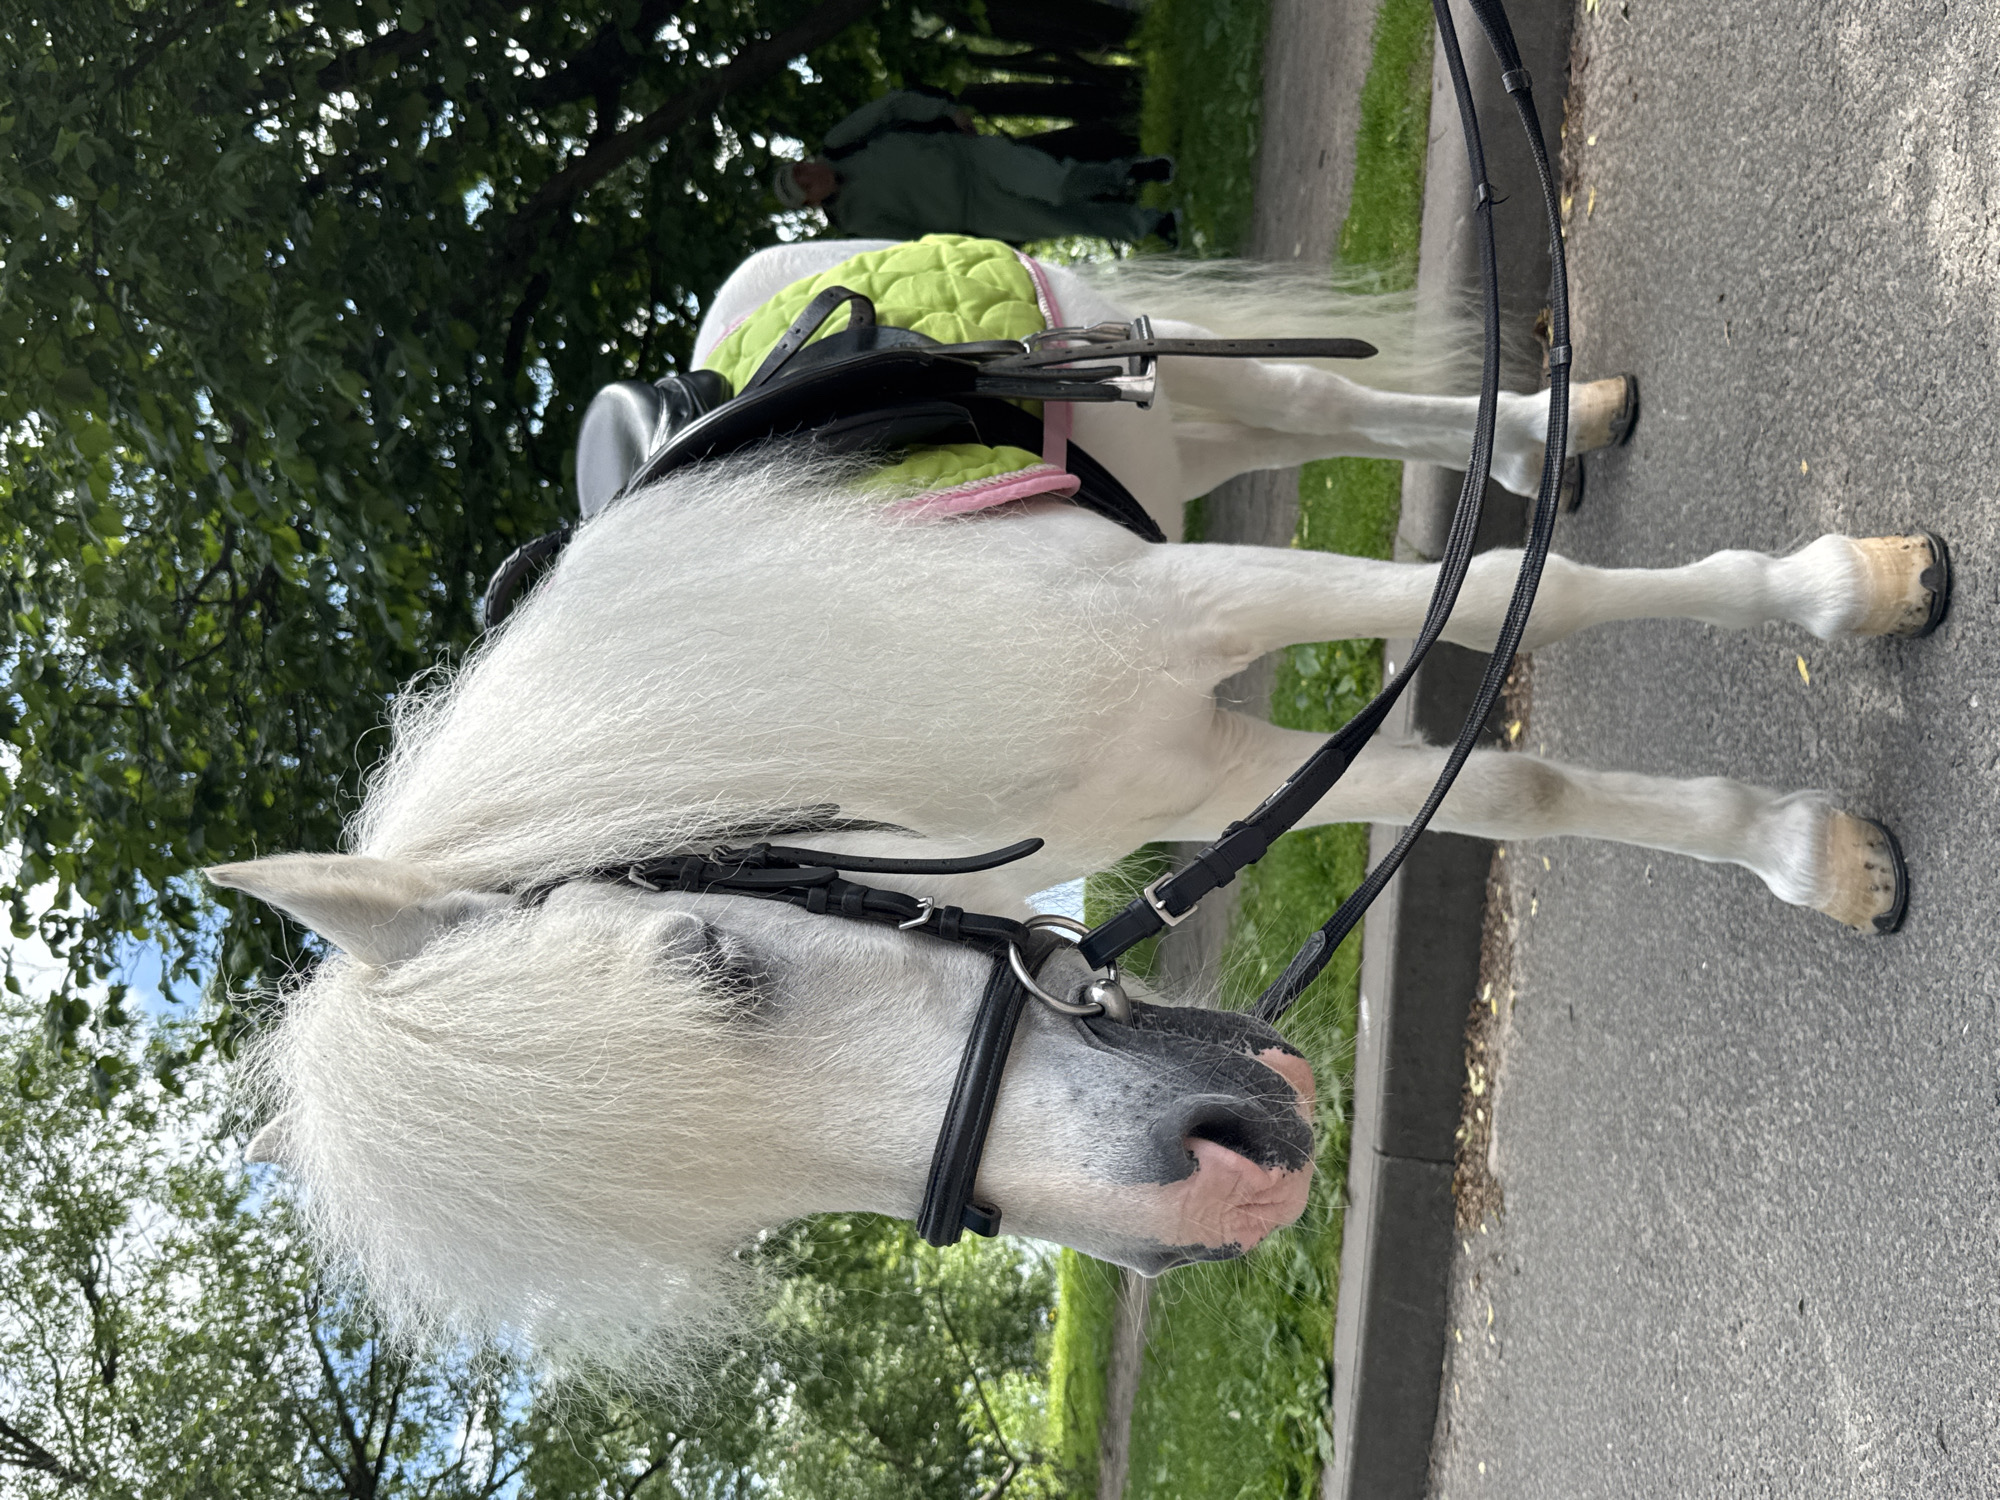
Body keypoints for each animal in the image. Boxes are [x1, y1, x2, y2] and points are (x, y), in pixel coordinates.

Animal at [209, 239, 1947, 1381]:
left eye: (718, 960)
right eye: (742, 1220)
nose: (1226, 1180)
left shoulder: (1203, 599)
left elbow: (1550, 599)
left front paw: (1849, 614)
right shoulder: (1211, 759)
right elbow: (1512, 783)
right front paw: (1803, 847)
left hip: (1166, 386)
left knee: (1347, 417)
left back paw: (1566, 425)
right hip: (1185, 446)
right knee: (1361, 432)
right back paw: (1551, 433)